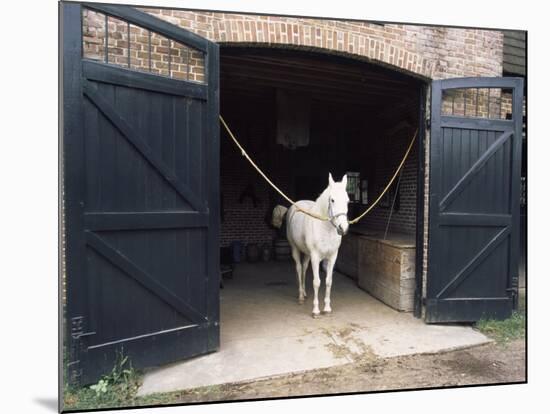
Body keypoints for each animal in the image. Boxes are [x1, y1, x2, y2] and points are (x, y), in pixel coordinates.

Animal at [274, 173, 352, 318]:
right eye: (332, 200)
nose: (343, 228)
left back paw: (304, 293)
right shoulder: (316, 257)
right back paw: (300, 296)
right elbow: (317, 282)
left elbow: (328, 282)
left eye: (347, 201)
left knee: (304, 268)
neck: (325, 228)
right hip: (295, 249)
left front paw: (327, 308)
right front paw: (316, 310)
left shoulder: (332, 257)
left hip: (307, 254)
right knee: (299, 268)